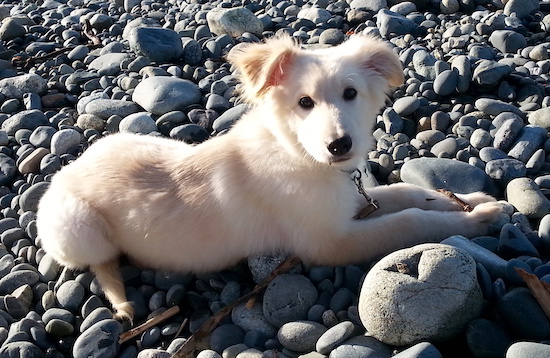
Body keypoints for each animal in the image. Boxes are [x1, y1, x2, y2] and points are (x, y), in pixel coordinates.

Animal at [35, 35, 504, 322]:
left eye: (351, 94)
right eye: (304, 102)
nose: (340, 146)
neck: (299, 155)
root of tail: (66, 171)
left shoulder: (352, 199)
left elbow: (406, 193)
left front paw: (464, 200)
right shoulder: (328, 243)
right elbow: (408, 222)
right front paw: (471, 220)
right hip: (79, 227)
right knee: (100, 262)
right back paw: (119, 296)